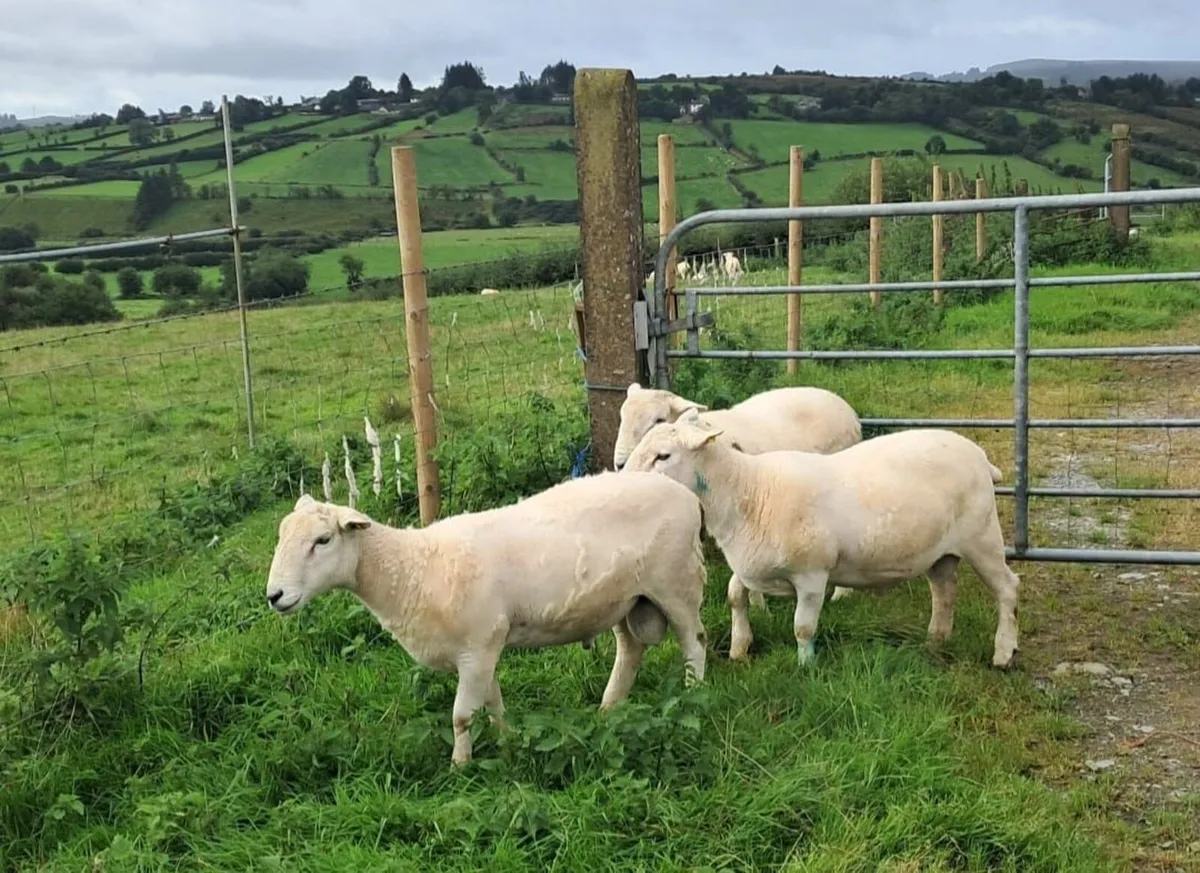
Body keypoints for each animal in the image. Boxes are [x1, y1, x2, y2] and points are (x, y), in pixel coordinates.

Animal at [265, 480, 709, 768]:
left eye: (323, 540)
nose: (274, 596)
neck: (413, 567)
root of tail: (685, 494)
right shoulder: (484, 647)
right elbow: (492, 703)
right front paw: (507, 742)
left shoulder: (477, 647)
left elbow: (461, 715)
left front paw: (459, 768)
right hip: (624, 599)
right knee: (631, 651)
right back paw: (608, 708)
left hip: (676, 582)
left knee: (695, 642)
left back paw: (692, 698)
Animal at [614, 383, 864, 605]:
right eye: (622, 417)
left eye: (658, 419)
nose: (620, 464)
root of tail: (841, 403)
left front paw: (757, 604)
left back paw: (842, 593)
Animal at [622, 422, 1021, 670]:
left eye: (663, 456)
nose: (623, 482)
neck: (749, 490)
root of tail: (979, 455)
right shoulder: (749, 566)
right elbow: (736, 596)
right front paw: (739, 647)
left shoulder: (812, 574)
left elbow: (802, 627)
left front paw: (805, 666)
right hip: (941, 551)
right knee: (944, 591)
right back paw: (935, 641)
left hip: (982, 536)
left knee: (1007, 588)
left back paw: (1003, 652)